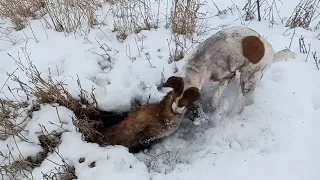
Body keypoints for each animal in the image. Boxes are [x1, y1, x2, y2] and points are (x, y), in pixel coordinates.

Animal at [162, 25, 296, 121]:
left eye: (184, 104)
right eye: (174, 98)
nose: (174, 112)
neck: (194, 68)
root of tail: (272, 53)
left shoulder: (227, 75)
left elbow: (217, 93)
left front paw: (213, 105)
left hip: (249, 79)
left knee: (239, 103)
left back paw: (231, 119)